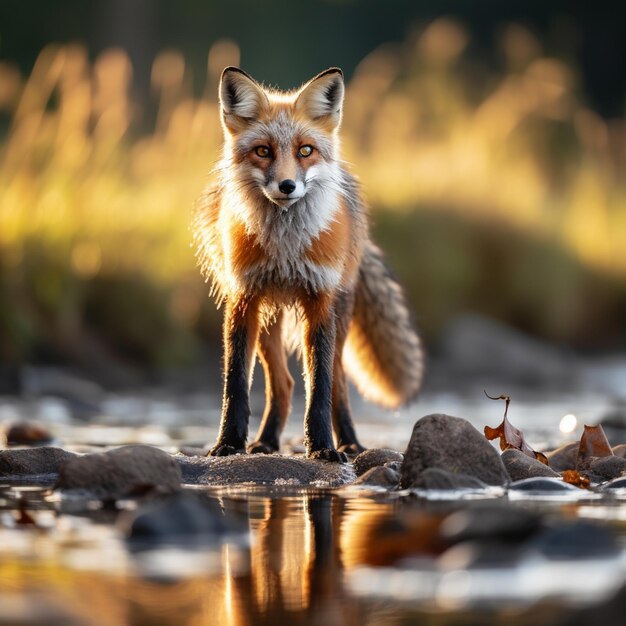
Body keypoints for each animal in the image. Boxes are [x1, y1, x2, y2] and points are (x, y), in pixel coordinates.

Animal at [193, 66, 422, 460]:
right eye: (263, 151)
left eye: (305, 151)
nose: (287, 186)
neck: (285, 249)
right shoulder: (242, 299)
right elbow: (235, 383)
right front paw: (228, 443)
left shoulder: (320, 301)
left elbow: (320, 387)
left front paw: (323, 447)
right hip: (268, 319)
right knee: (283, 383)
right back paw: (267, 441)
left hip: (339, 315)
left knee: (338, 382)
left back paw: (349, 441)